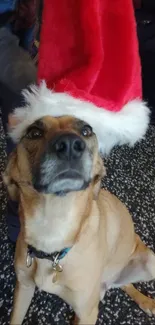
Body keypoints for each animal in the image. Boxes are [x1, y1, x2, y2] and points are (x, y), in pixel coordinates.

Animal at [3, 114, 155, 324]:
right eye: (34, 132)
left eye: (86, 130)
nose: (69, 145)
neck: (52, 225)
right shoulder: (23, 288)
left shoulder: (87, 313)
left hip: (149, 261)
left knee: (125, 284)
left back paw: (147, 301)